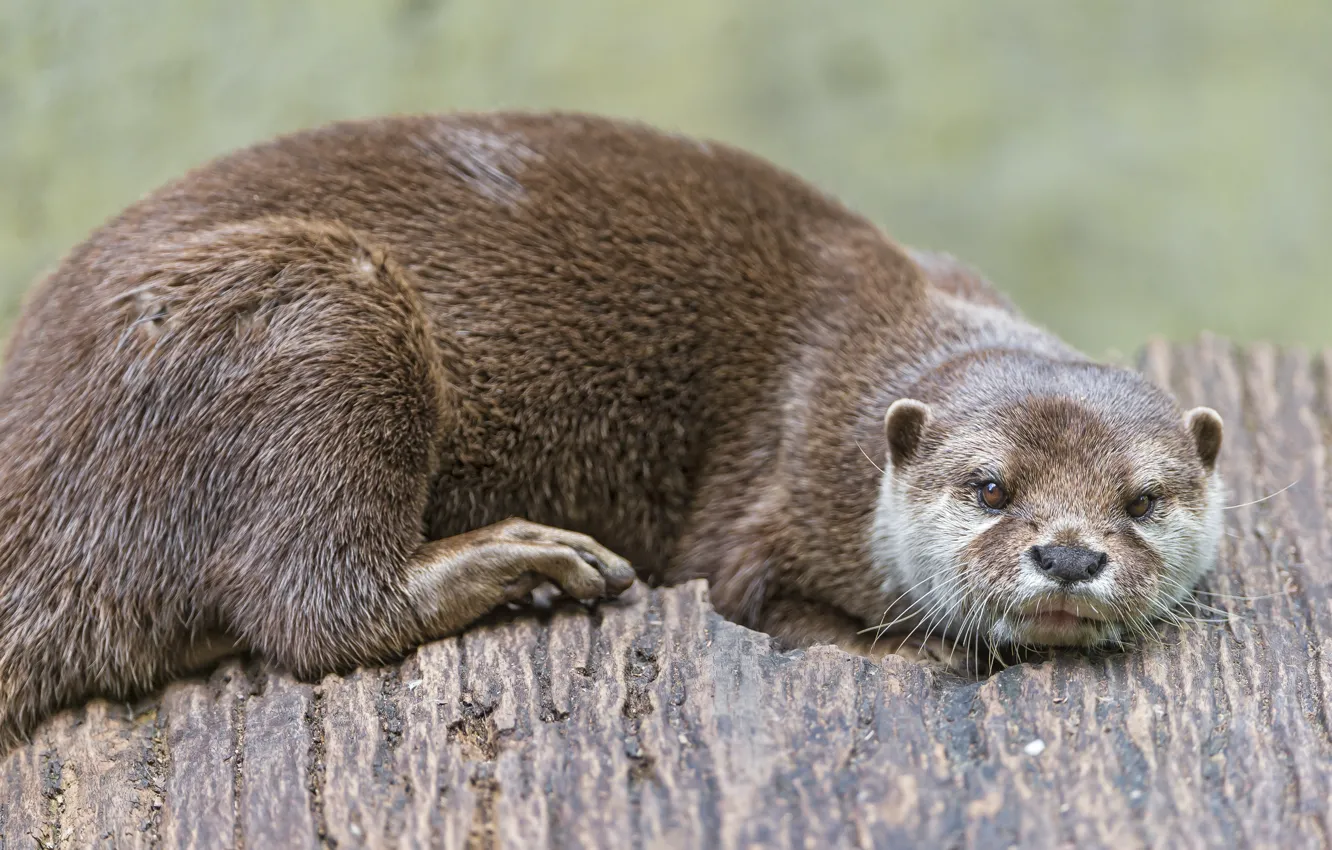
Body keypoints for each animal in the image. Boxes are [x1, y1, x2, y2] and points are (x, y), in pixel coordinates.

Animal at [0, 112, 1223, 749]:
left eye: (1142, 498)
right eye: (990, 486)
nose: (1067, 554)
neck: (855, 365)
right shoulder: (772, 500)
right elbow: (766, 600)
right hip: (316, 305)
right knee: (308, 606)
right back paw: (524, 561)